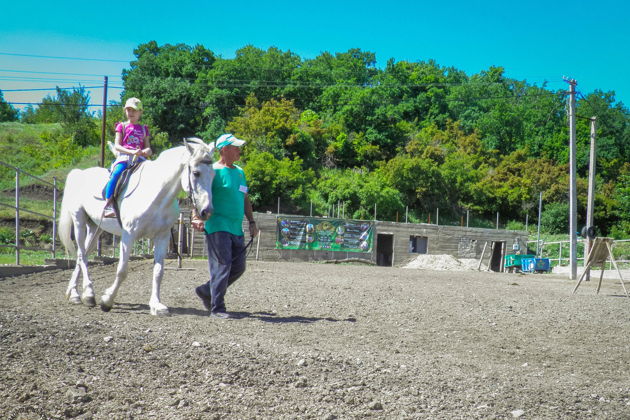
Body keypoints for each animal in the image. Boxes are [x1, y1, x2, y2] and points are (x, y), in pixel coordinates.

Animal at [59, 138, 217, 316]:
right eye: (196, 173)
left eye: (213, 175)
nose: (207, 211)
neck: (157, 196)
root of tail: (80, 173)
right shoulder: (128, 236)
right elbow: (122, 270)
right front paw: (107, 301)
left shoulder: (162, 237)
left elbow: (158, 272)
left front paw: (156, 305)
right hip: (79, 221)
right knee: (82, 255)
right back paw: (88, 295)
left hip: (95, 228)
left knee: (83, 254)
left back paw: (75, 294)